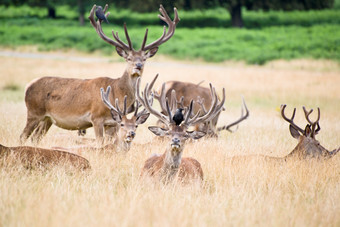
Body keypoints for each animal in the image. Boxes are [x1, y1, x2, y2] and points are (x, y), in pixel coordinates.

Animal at [19, 3, 179, 145]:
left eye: (144, 58)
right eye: (128, 58)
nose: (138, 66)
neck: (116, 92)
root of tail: (28, 85)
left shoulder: (113, 123)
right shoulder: (96, 118)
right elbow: (100, 143)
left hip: (47, 119)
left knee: (35, 138)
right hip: (34, 112)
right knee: (22, 136)